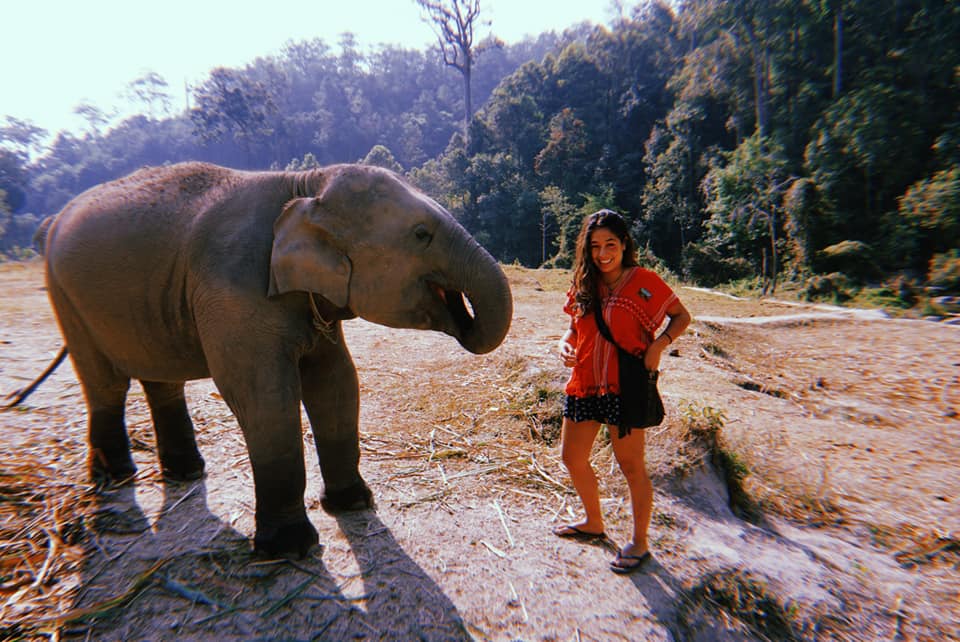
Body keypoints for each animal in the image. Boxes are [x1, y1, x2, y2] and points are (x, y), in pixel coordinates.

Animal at [40, 161, 512, 557]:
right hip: (64, 296)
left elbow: (336, 383)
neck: (302, 186)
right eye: (421, 234)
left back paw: (185, 473)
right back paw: (118, 477)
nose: (463, 315)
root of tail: (55, 219)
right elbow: (265, 396)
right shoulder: (232, 293)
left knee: (161, 379)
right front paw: (289, 548)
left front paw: (353, 504)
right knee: (105, 384)